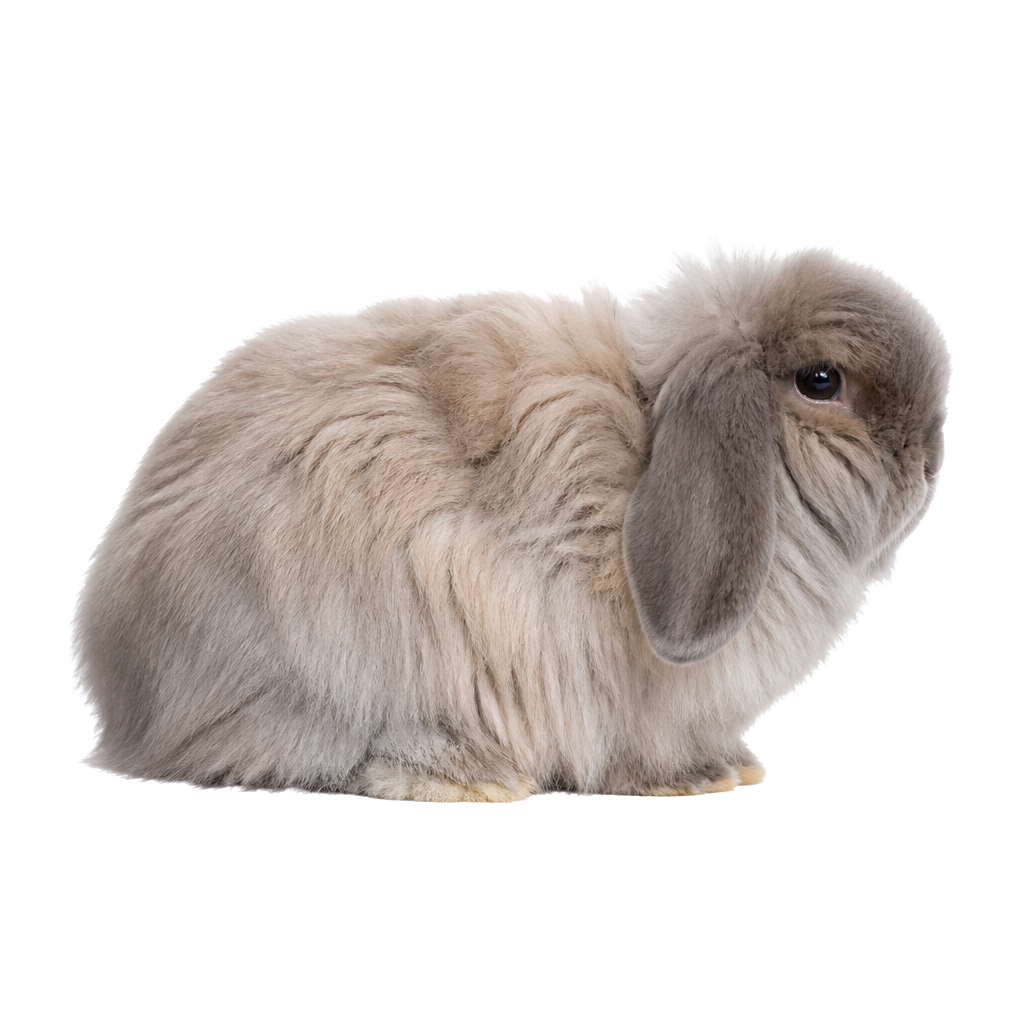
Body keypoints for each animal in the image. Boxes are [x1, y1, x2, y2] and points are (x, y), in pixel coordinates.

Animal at [75, 243, 950, 801]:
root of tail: (127, 703)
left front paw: (730, 766)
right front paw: (693, 777)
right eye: (821, 381)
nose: (932, 462)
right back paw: (469, 775)